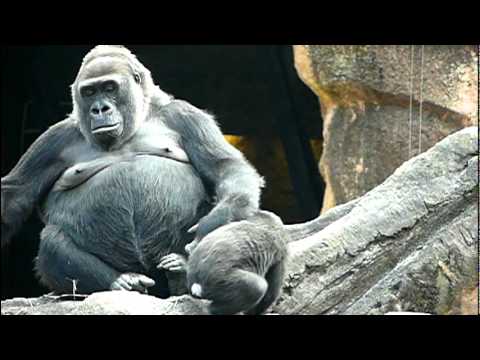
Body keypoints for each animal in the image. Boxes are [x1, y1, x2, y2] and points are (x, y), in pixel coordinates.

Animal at [0, 45, 262, 298]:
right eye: (89, 92)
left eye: (109, 87)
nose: (99, 109)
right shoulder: (54, 140)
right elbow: (16, 194)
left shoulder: (185, 116)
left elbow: (225, 167)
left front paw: (217, 220)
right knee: (51, 241)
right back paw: (121, 281)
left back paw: (183, 266)